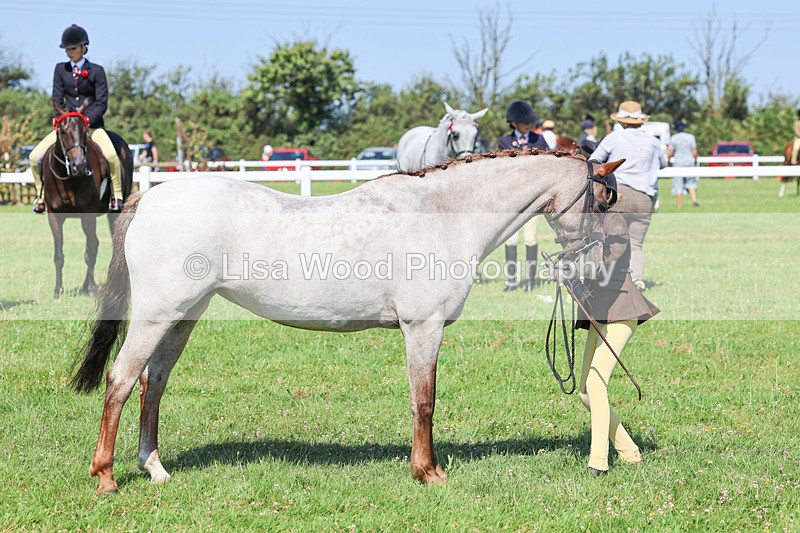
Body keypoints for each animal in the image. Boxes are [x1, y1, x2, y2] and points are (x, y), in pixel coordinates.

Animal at [42, 103, 134, 299]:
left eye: (85, 131)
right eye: (63, 131)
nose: (79, 165)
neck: (68, 179)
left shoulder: (88, 215)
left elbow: (90, 251)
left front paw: (92, 288)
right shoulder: (54, 216)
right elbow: (58, 255)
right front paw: (58, 290)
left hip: (114, 211)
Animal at [70, 148, 624, 494]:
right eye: (601, 200)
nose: (599, 265)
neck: (444, 212)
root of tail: (149, 197)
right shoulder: (422, 328)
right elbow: (424, 400)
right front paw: (428, 472)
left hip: (184, 317)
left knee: (154, 382)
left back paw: (155, 468)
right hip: (156, 316)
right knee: (121, 380)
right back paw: (107, 477)